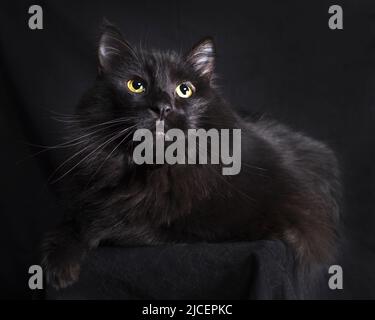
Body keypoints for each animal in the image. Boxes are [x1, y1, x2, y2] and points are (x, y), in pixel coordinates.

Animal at [42, 21, 342, 288]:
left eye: (184, 90)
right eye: (136, 85)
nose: (163, 108)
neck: (154, 167)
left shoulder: (248, 225)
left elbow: (123, 225)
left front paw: (92, 229)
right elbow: (70, 223)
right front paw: (58, 265)